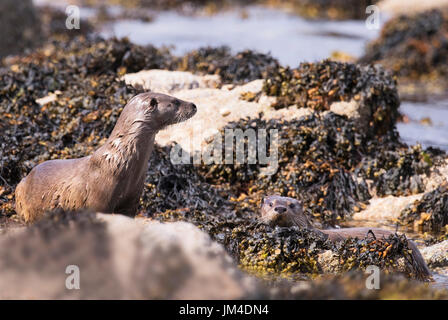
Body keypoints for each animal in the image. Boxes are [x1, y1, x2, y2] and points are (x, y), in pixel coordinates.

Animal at [15, 92, 196, 222]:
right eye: (175, 101)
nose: (193, 105)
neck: (119, 160)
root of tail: (25, 178)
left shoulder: (132, 198)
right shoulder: (98, 200)